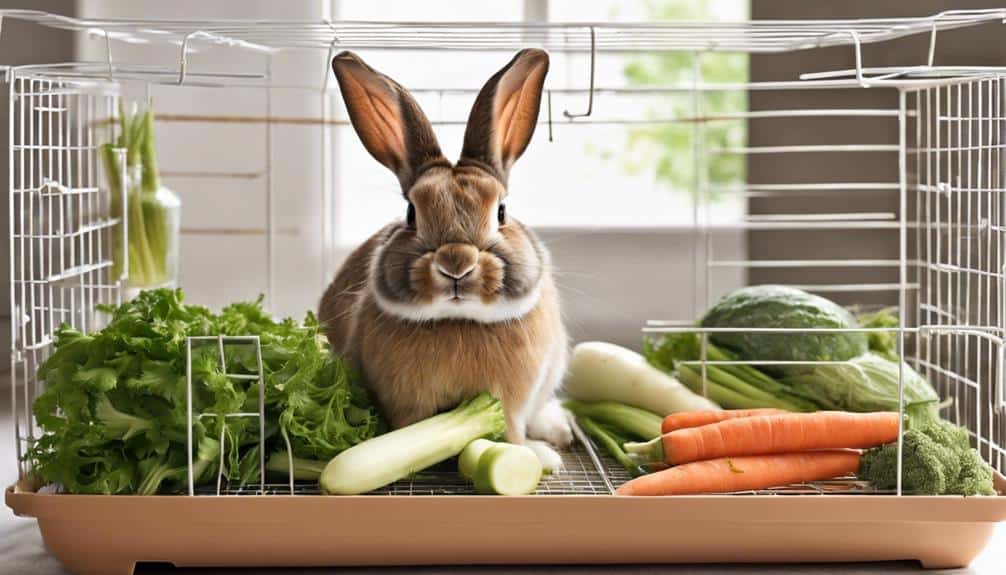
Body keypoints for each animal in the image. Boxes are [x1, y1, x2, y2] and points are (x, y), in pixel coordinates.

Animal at [319, 49, 572, 470]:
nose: (456, 264)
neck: (459, 320)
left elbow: (513, 431)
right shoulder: (404, 397)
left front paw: (532, 455)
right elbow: (411, 427)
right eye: (411, 214)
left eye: (501, 211)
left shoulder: (514, 399)